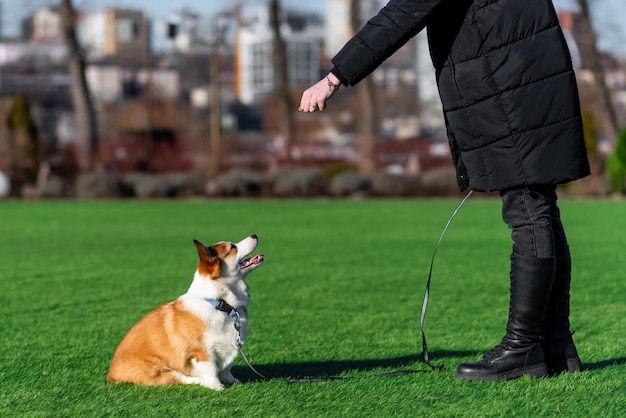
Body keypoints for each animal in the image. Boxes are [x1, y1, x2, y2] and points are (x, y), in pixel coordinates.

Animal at [106, 233, 262, 390]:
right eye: (232, 247)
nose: (254, 235)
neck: (219, 303)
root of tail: (111, 374)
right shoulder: (202, 352)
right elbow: (211, 370)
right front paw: (217, 387)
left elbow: (226, 368)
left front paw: (232, 380)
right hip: (158, 372)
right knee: (182, 378)